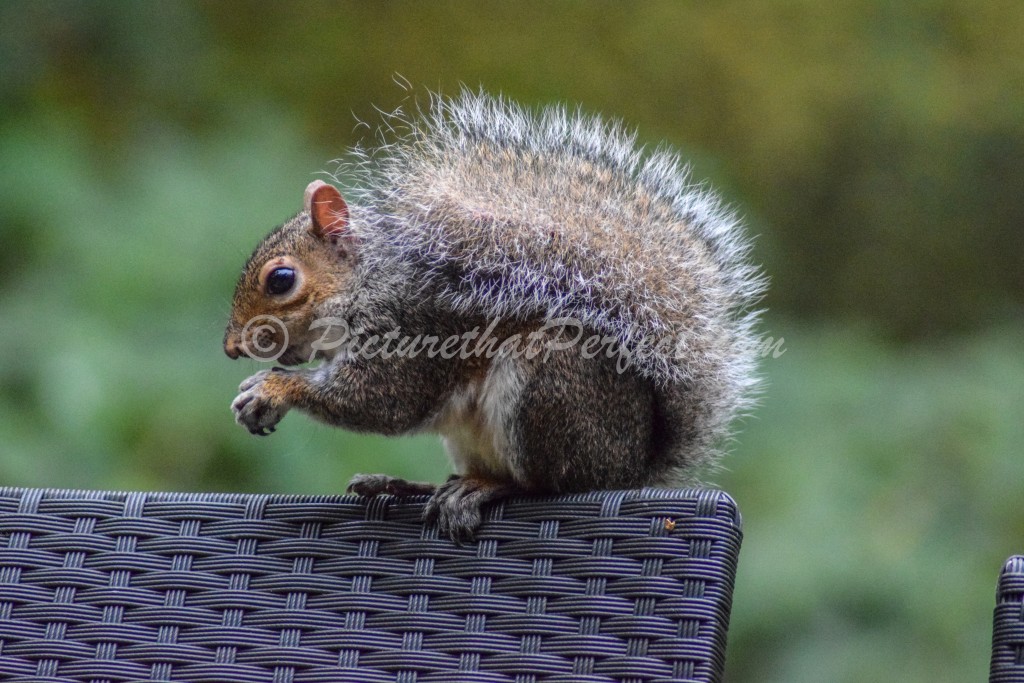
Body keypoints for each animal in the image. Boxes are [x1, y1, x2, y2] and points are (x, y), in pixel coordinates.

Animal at [223, 91, 765, 541]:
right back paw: (404, 485)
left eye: (281, 280)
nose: (231, 348)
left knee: (551, 485)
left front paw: (271, 389)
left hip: (547, 382)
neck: (366, 281)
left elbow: (379, 401)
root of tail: (631, 468)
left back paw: (483, 489)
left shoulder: (411, 327)